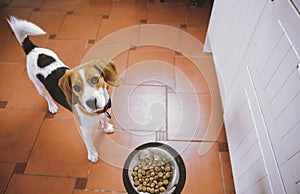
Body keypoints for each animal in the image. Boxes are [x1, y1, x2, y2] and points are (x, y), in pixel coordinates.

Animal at [7, 16, 119, 162]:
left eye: (95, 80)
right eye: (76, 87)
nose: (91, 102)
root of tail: (32, 49)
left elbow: (104, 120)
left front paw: (106, 127)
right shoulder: (84, 130)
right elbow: (89, 143)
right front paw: (92, 154)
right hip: (38, 86)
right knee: (47, 96)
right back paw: (52, 106)